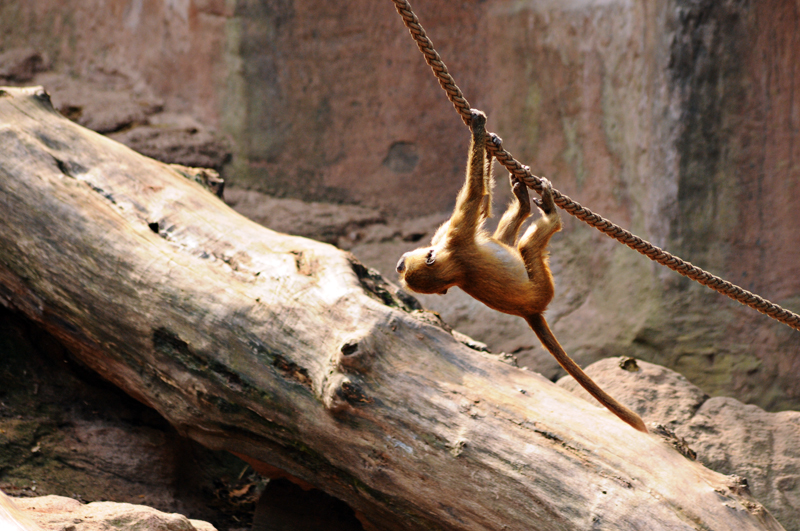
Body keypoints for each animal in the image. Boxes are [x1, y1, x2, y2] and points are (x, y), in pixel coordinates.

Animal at [396, 109, 648, 434]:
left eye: (403, 266)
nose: (398, 263)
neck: (452, 265)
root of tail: (532, 311)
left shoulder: (448, 240)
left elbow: (483, 205)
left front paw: (489, 140)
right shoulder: (456, 237)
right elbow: (474, 196)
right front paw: (478, 129)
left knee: (508, 237)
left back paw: (523, 200)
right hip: (544, 284)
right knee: (528, 246)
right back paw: (548, 213)